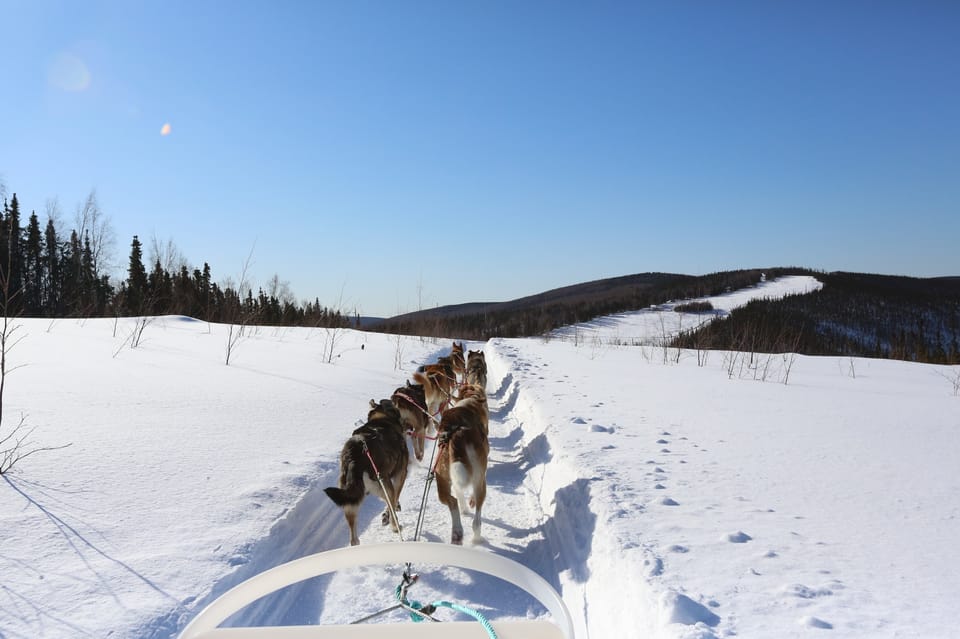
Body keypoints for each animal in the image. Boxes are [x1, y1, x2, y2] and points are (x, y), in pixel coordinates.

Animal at [326, 400, 408, 544]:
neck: (381, 419)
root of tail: (354, 457)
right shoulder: (400, 475)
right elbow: (395, 499)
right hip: (385, 486)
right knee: (391, 508)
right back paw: (395, 526)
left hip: (349, 500)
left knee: (353, 539)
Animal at [438, 384, 492, 544]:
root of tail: (457, 433)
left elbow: (458, 492)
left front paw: (464, 509)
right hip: (480, 480)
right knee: (477, 519)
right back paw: (477, 538)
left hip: (441, 476)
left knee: (452, 501)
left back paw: (457, 532)